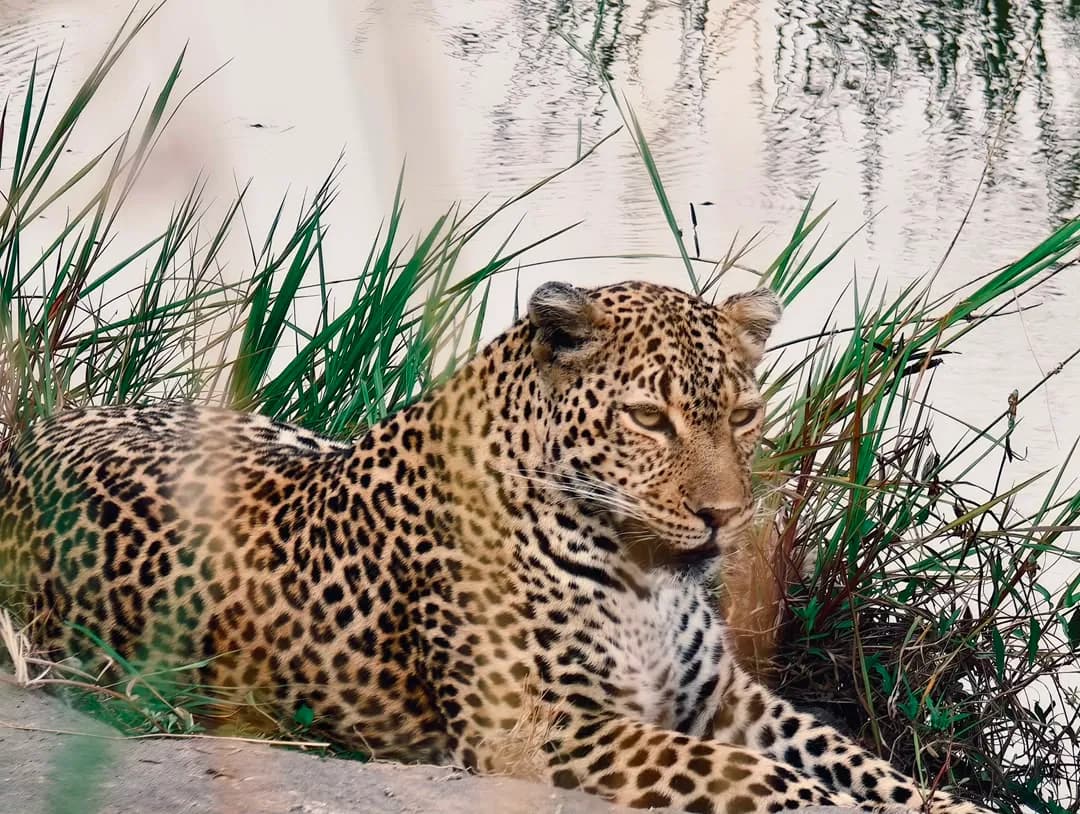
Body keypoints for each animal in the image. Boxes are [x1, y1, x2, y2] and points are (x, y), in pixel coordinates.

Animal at [0, 280, 991, 814]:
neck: (646, 577)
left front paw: (952, 802)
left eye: (742, 415)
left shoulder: (726, 699)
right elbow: (760, 777)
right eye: (648, 418)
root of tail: (41, 429)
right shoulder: (536, 729)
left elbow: (856, 759)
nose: (724, 516)